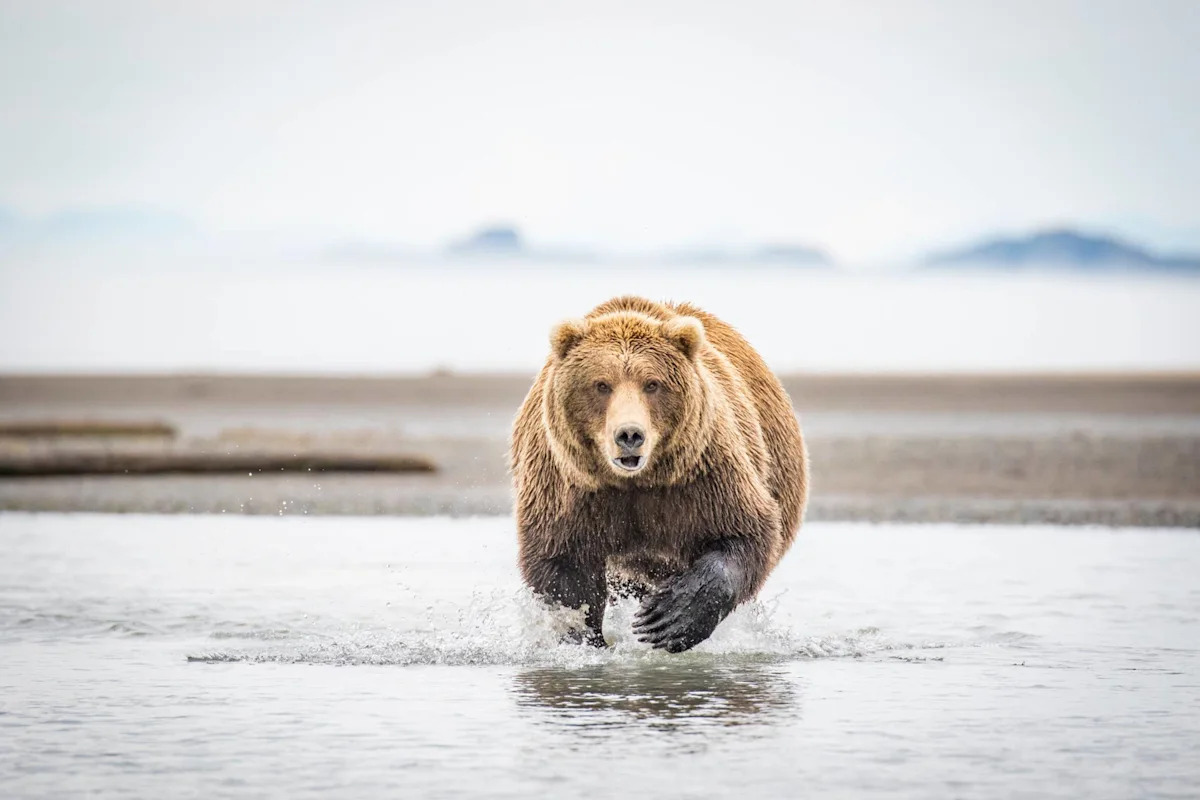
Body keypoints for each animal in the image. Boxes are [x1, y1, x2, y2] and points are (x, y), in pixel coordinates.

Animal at [510, 295, 808, 652]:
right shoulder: (570, 488)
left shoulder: (702, 474)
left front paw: (669, 618)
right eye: (601, 384)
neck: (635, 482)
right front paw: (585, 639)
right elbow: (564, 569)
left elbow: (744, 531)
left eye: (652, 383)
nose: (629, 434)